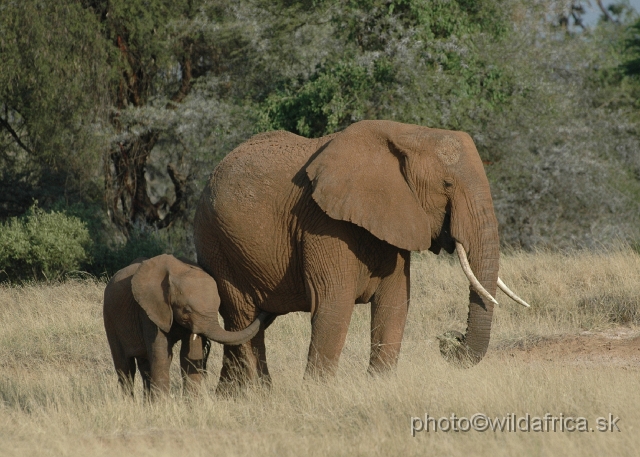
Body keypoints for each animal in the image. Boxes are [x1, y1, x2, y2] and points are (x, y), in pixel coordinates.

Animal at [104, 253, 268, 396]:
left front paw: (192, 403)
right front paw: (162, 405)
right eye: (187, 310)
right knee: (124, 367)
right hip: (109, 318)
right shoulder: (149, 310)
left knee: (144, 367)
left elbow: (190, 355)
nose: (264, 309)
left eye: (218, 307)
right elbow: (161, 354)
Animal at [192, 119, 528, 386]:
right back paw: (255, 394)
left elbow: (395, 304)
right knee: (242, 318)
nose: (449, 338)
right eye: (446, 184)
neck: (409, 133)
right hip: (216, 242)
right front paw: (318, 394)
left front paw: (379, 386)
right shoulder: (322, 222)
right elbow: (333, 305)